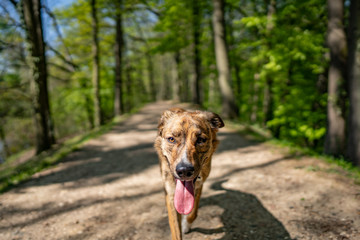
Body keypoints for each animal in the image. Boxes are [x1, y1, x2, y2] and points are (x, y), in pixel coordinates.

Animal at [154, 108, 224, 239]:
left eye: (201, 140)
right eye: (171, 139)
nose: (184, 171)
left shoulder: (199, 185)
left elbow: (193, 212)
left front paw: (186, 224)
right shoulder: (171, 194)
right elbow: (176, 231)